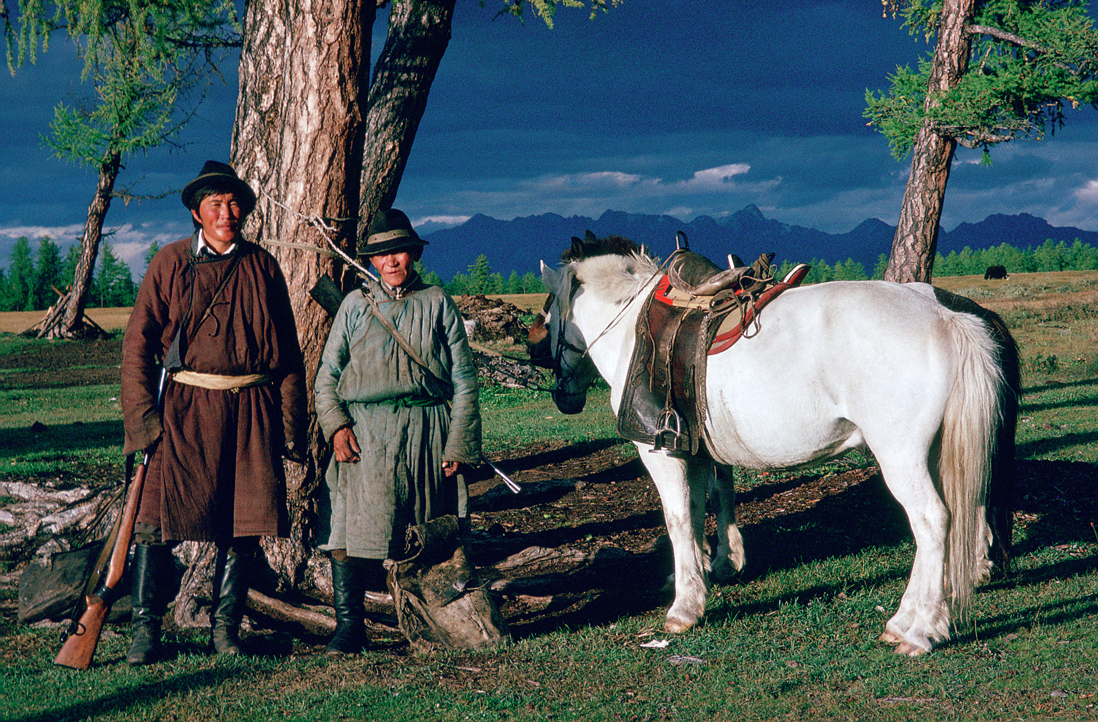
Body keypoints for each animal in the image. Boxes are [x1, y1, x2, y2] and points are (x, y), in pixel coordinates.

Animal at [527, 235, 1017, 656]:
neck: (632, 324)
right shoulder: (696, 451)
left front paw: (684, 607)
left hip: (901, 456)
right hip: (935, 454)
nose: (561, 395)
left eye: (549, 311)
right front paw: (708, 574)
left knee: (932, 522)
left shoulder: (658, 452)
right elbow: (702, 510)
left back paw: (921, 629)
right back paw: (906, 619)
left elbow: (677, 520)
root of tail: (948, 318)